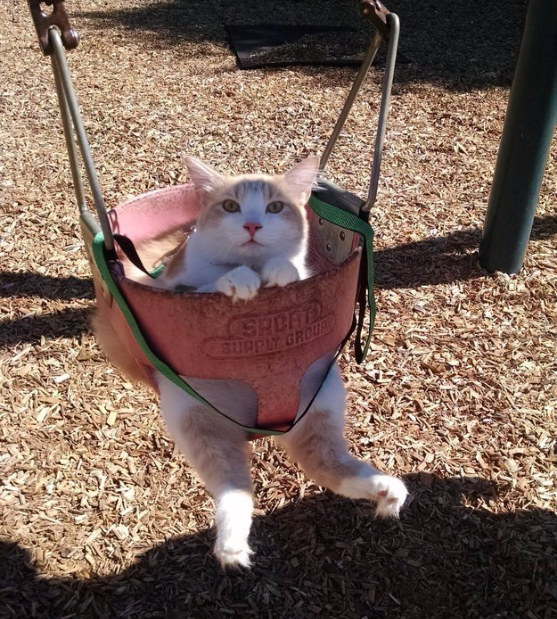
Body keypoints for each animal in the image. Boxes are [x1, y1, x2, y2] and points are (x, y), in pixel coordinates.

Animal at [92, 155, 408, 568]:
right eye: (231, 206)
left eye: (275, 207)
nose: (252, 225)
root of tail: (265, 427)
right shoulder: (173, 289)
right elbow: (211, 283)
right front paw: (238, 279)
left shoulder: (305, 275)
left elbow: (291, 270)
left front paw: (278, 269)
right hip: (198, 423)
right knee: (234, 486)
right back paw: (232, 546)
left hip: (318, 406)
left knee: (324, 464)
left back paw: (386, 490)